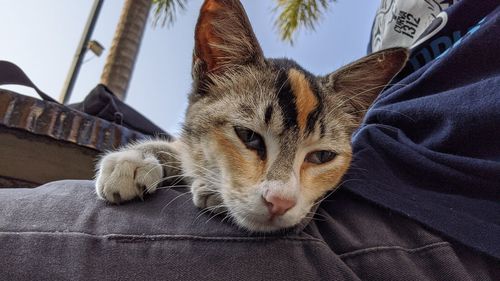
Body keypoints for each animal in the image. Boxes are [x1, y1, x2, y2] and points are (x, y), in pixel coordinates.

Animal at [94, 0, 406, 232]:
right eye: (248, 136)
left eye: (322, 156)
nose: (280, 202)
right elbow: (182, 149)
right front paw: (132, 159)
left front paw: (210, 190)